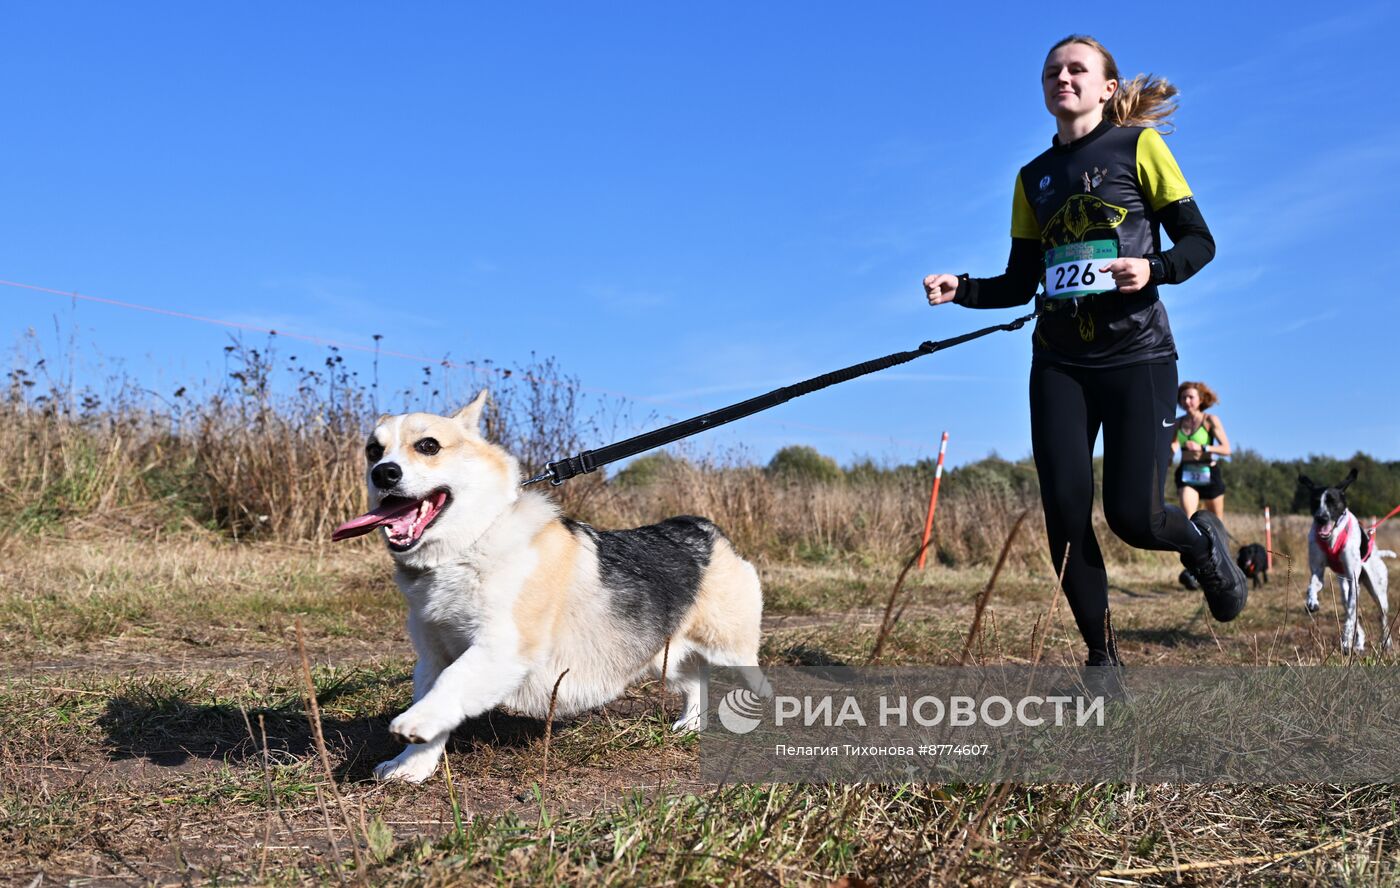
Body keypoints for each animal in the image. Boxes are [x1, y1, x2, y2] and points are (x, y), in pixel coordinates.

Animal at [330, 389, 767, 778]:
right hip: (669, 653)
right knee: (695, 684)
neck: (470, 545)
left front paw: (414, 723)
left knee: (756, 683)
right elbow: (437, 701)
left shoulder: (503, 646)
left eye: (428, 445)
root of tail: (701, 526)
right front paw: (410, 766)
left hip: (733, 649)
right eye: (373, 451)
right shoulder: (433, 656)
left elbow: (453, 684)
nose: (383, 473)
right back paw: (689, 726)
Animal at [1293, 470, 1394, 649]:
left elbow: (1351, 618)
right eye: (1315, 502)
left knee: (1381, 617)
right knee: (1351, 611)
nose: (1321, 518)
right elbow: (1312, 586)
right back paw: (1358, 643)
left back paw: (1385, 642)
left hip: (1377, 591)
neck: (1332, 536)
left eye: (1333, 502)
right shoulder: (1318, 572)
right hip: (1344, 590)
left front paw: (1346, 638)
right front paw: (1312, 601)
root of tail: (1377, 553)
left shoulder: (1353, 580)